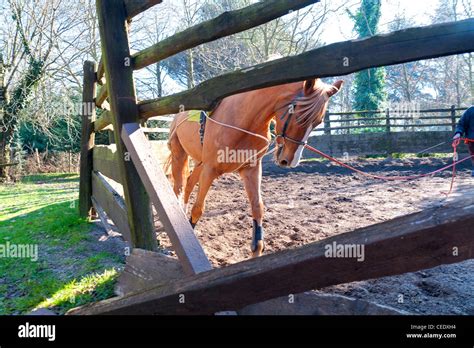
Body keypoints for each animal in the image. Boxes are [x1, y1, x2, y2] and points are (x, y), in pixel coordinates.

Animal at [165, 79, 342, 258]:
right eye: (300, 116)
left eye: (318, 122)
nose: (290, 160)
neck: (243, 119)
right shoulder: (210, 169)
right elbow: (198, 209)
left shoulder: (251, 169)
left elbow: (258, 207)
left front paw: (257, 248)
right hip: (180, 156)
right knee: (178, 187)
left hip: (200, 163)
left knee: (189, 183)